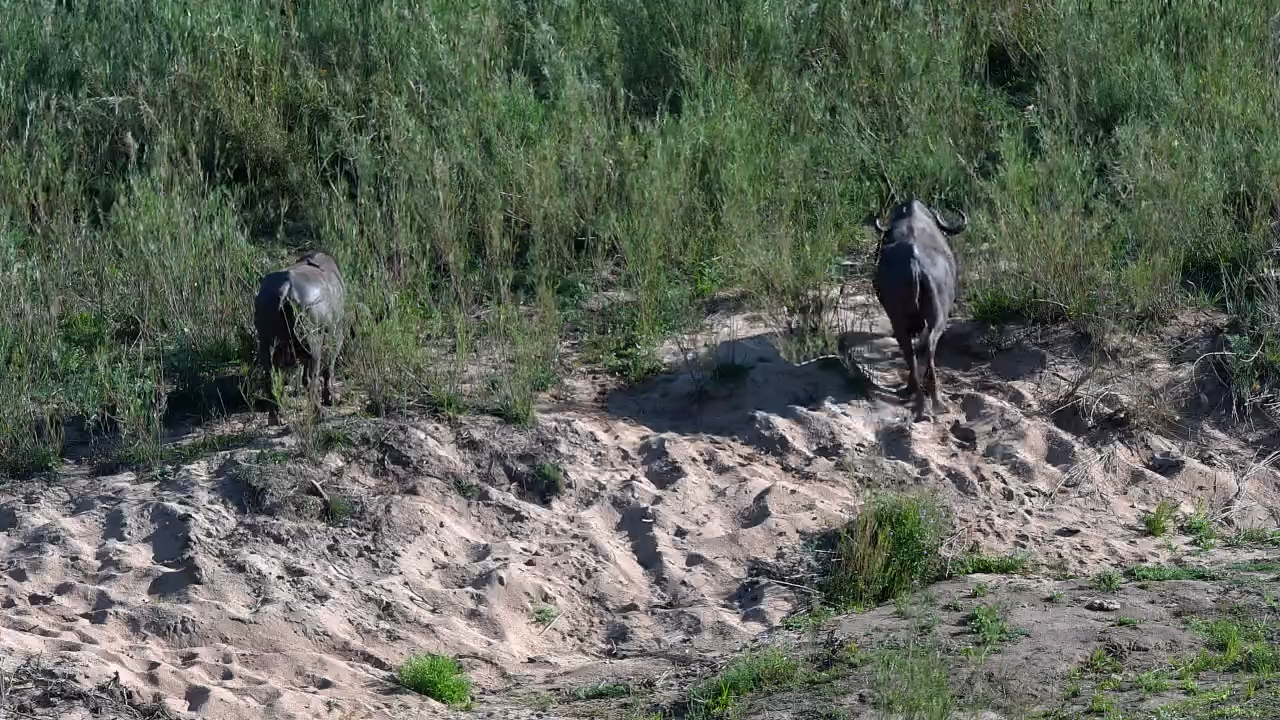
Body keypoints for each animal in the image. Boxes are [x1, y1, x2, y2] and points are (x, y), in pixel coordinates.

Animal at [253, 250, 348, 425]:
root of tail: (286, 288)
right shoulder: (336, 335)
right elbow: (328, 368)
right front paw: (330, 397)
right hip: (313, 344)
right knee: (312, 378)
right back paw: (320, 413)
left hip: (266, 344)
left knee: (272, 379)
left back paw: (274, 417)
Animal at [869, 198, 967, 422]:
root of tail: (914, 264)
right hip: (936, 316)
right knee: (927, 346)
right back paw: (931, 398)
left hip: (899, 320)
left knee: (912, 349)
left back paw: (919, 395)